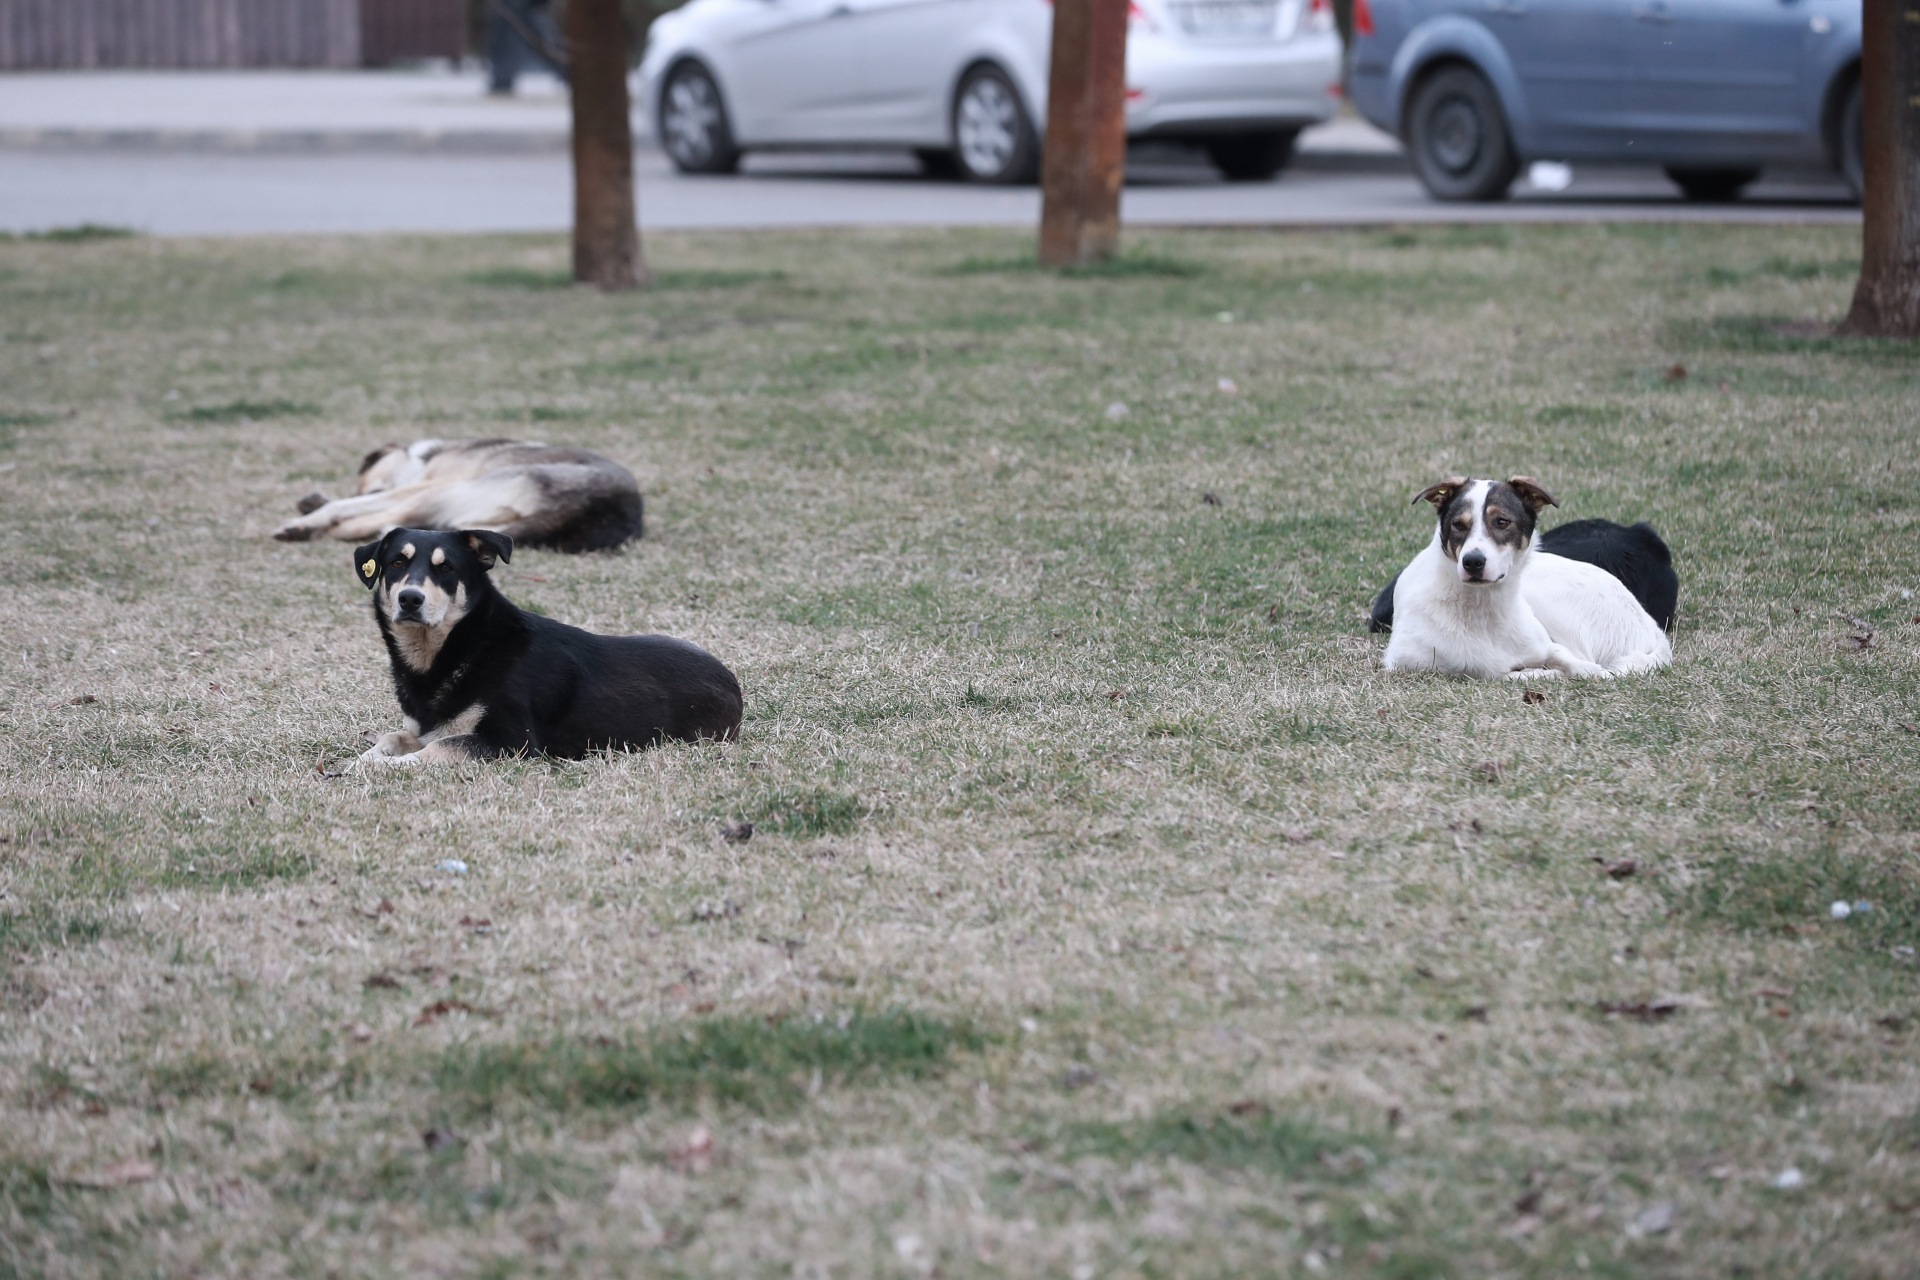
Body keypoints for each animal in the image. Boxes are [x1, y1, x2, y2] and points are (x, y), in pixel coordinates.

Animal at [357, 529, 744, 767]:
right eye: (397, 563)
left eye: (447, 568)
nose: (410, 599)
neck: (462, 645)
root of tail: (731, 681)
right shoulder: (422, 729)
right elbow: (394, 736)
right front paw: (365, 760)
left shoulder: (513, 742)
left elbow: (437, 748)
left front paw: (386, 767)